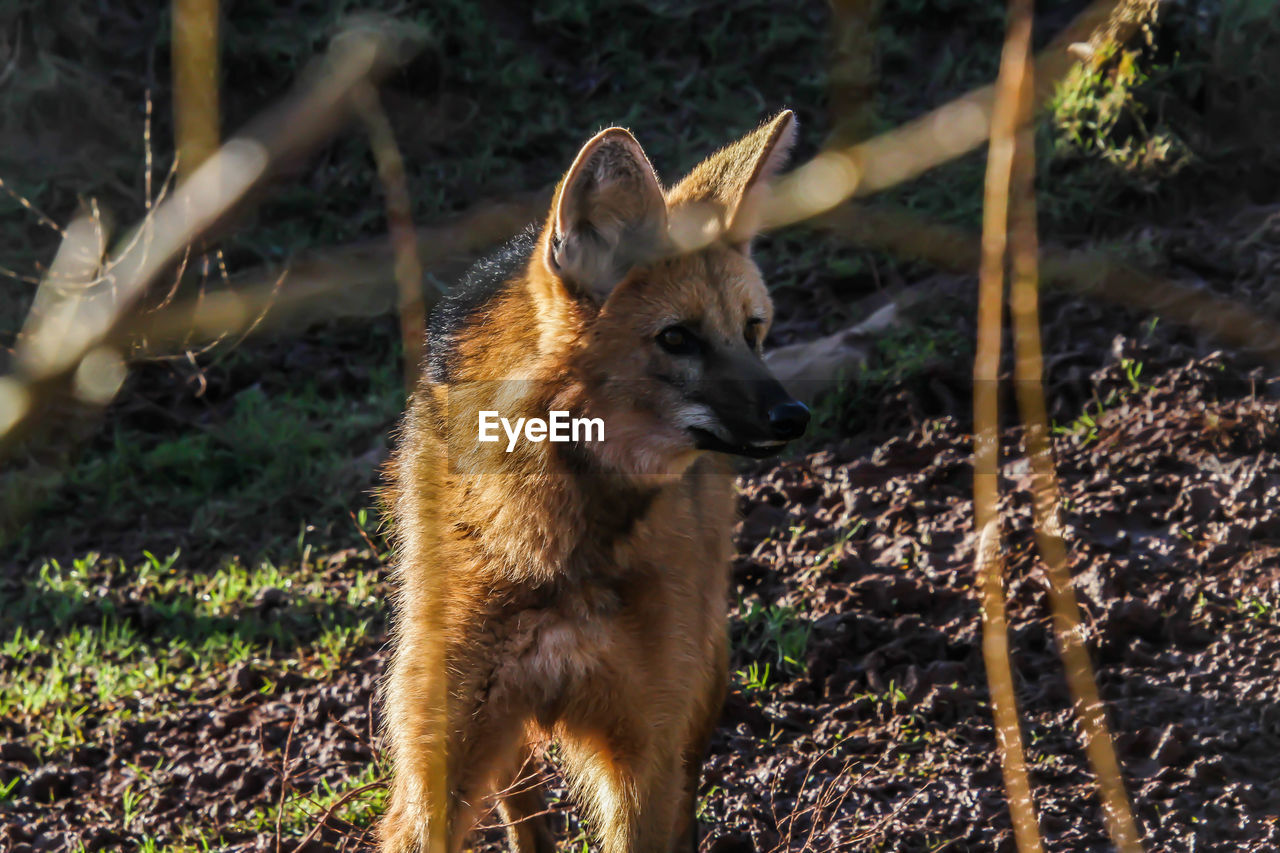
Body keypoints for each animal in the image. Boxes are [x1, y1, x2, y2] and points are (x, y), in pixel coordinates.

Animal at [381, 112, 808, 850]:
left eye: (753, 331)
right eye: (677, 338)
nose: (793, 415)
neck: (554, 545)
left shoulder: (643, 750)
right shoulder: (440, 759)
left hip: (701, 674)